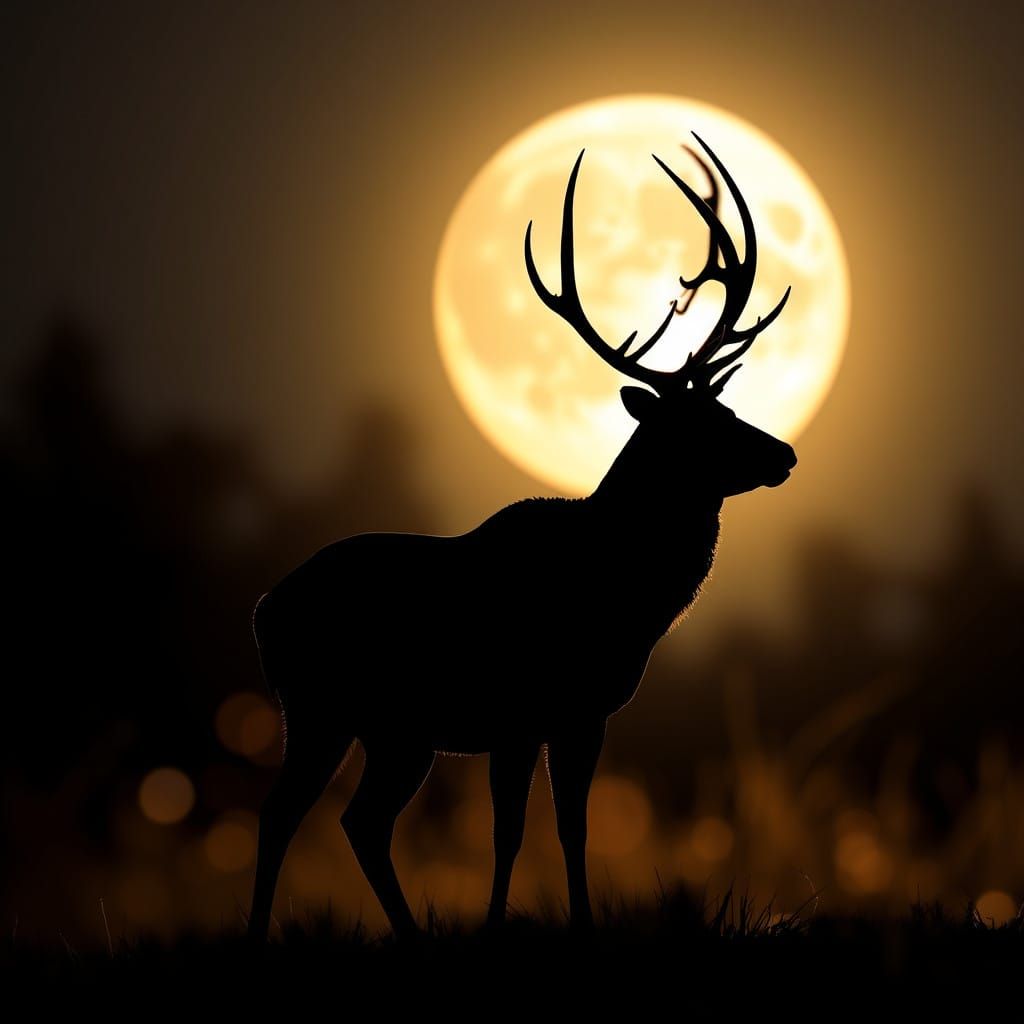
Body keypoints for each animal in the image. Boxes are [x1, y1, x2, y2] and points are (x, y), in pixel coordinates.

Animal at [246, 133, 796, 942]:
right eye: (705, 425)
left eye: (725, 409)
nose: (784, 453)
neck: (631, 598)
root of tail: (263, 611)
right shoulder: (545, 711)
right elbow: (535, 828)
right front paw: (529, 925)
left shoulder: (554, 718)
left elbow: (547, 827)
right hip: (323, 708)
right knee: (286, 814)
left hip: (391, 731)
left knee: (359, 822)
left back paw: (406, 933)